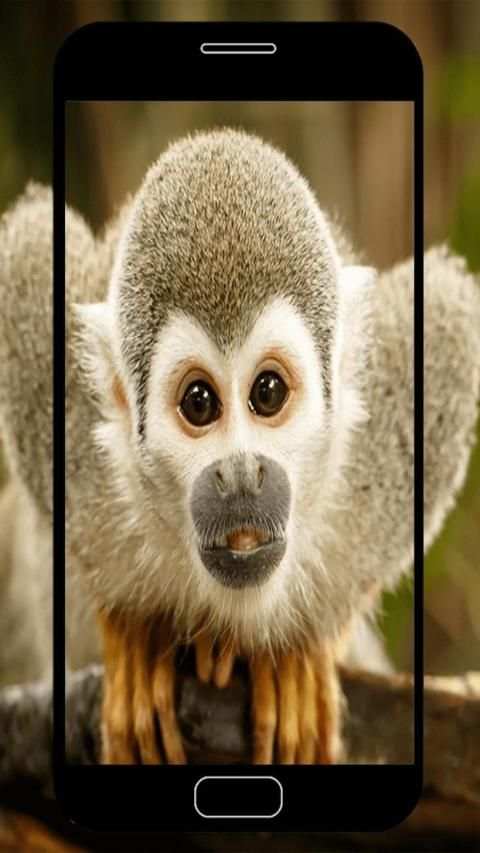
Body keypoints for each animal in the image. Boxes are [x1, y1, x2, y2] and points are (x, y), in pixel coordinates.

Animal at [0, 129, 479, 766]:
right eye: (200, 403)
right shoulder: (71, 442)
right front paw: (131, 631)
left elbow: (447, 310)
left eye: (267, 393)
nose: (242, 474)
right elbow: (30, 248)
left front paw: (302, 649)